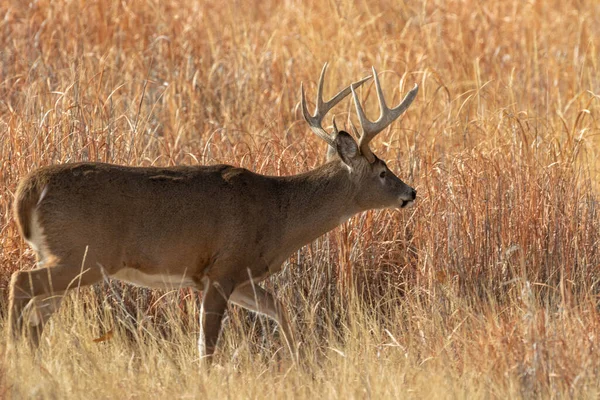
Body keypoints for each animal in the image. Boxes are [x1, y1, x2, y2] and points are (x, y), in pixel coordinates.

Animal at [7, 64, 418, 364]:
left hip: (65, 258)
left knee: (37, 314)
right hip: (84, 256)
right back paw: (15, 355)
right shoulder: (223, 269)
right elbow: (207, 344)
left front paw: (300, 363)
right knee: (19, 282)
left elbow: (279, 308)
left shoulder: (236, 274)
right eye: (383, 172)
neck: (278, 216)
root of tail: (28, 189)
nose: (410, 193)